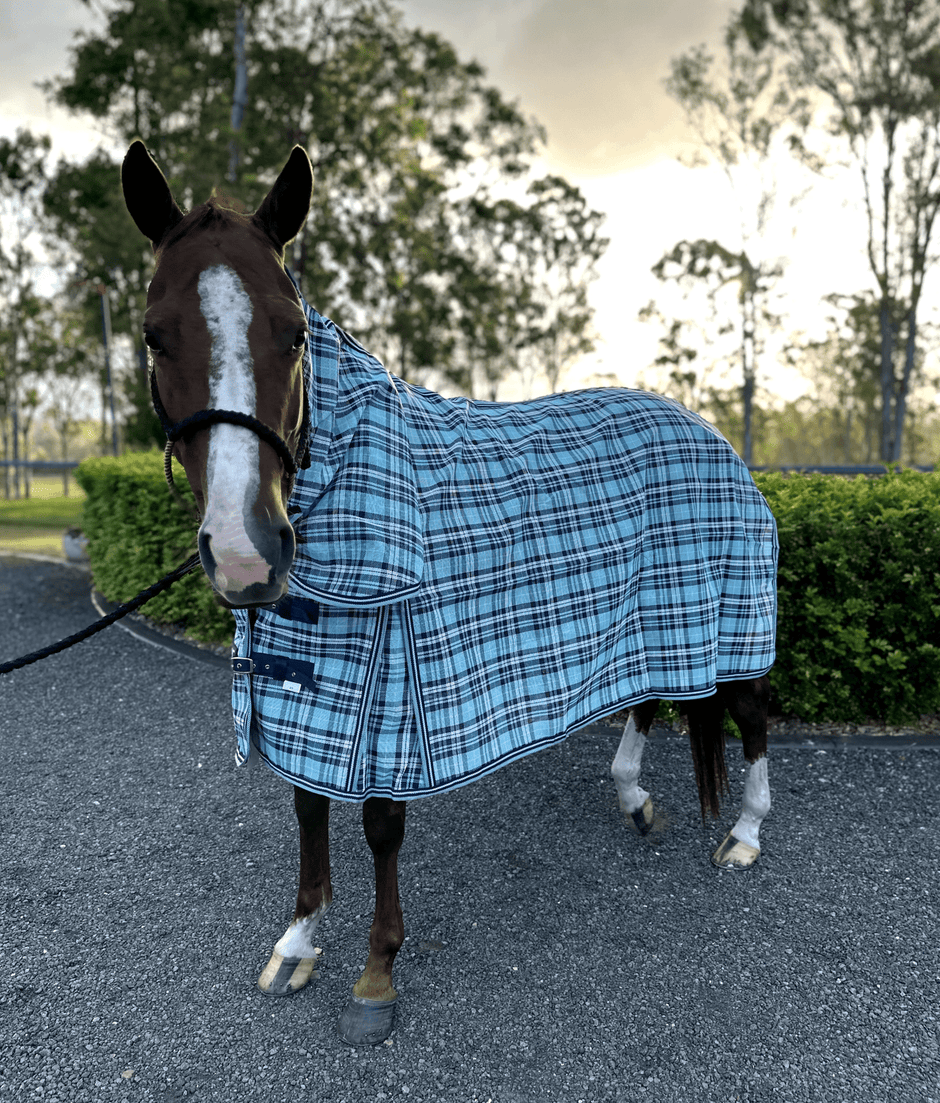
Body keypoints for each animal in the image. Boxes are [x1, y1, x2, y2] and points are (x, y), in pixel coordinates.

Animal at [121, 140, 777, 1046]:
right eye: (155, 335)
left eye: (294, 333)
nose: (246, 553)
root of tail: (706, 429)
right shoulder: (310, 686)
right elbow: (308, 808)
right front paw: (298, 942)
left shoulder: (390, 688)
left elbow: (378, 825)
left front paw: (376, 972)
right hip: (647, 615)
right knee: (646, 697)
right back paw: (635, 797)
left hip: (728, 611)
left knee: (749, 712)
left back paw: (744, 834)